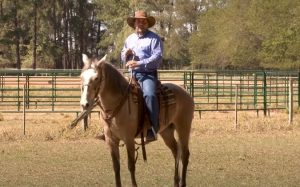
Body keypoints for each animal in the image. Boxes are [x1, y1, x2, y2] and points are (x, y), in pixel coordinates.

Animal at [72, 54, 195, 187]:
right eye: (81, 77)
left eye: (96, 78)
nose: (84, 104)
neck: (118, 105)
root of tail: (185, 92)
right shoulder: (111, 140)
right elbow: (116, 167)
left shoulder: (129, 139)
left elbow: (131, 166)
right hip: (166, 131)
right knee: (176, 151)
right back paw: (176, 181)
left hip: (183, 127)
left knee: (185, 154)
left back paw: (182, 183)